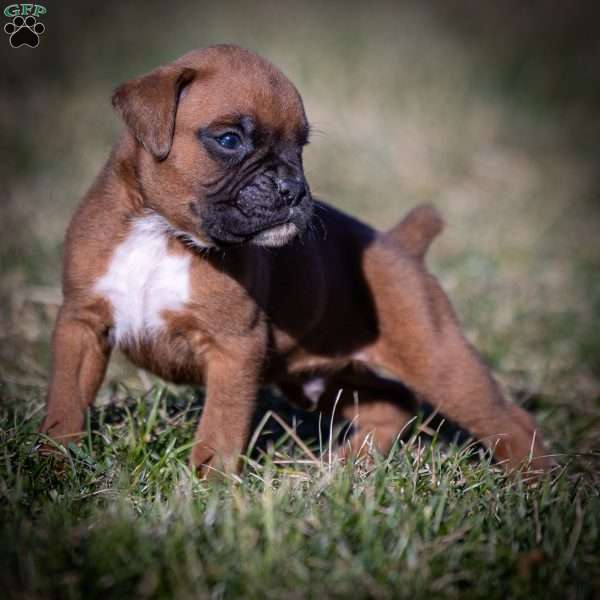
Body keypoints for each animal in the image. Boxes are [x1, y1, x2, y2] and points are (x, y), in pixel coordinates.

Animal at [39, 44, 552, 476]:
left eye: (300, 147)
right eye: (229, 139)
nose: (293, 188)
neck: (161, 232)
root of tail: (399, 245)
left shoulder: (234, 349)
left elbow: (219, 429)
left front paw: (206, 487)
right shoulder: (82, 325)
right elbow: (66, 402)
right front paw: (53, 464)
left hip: (437, 360)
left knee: (509, 420)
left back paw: (536, 486)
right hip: (327, 376)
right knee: (392, 404)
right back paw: (347, 465)